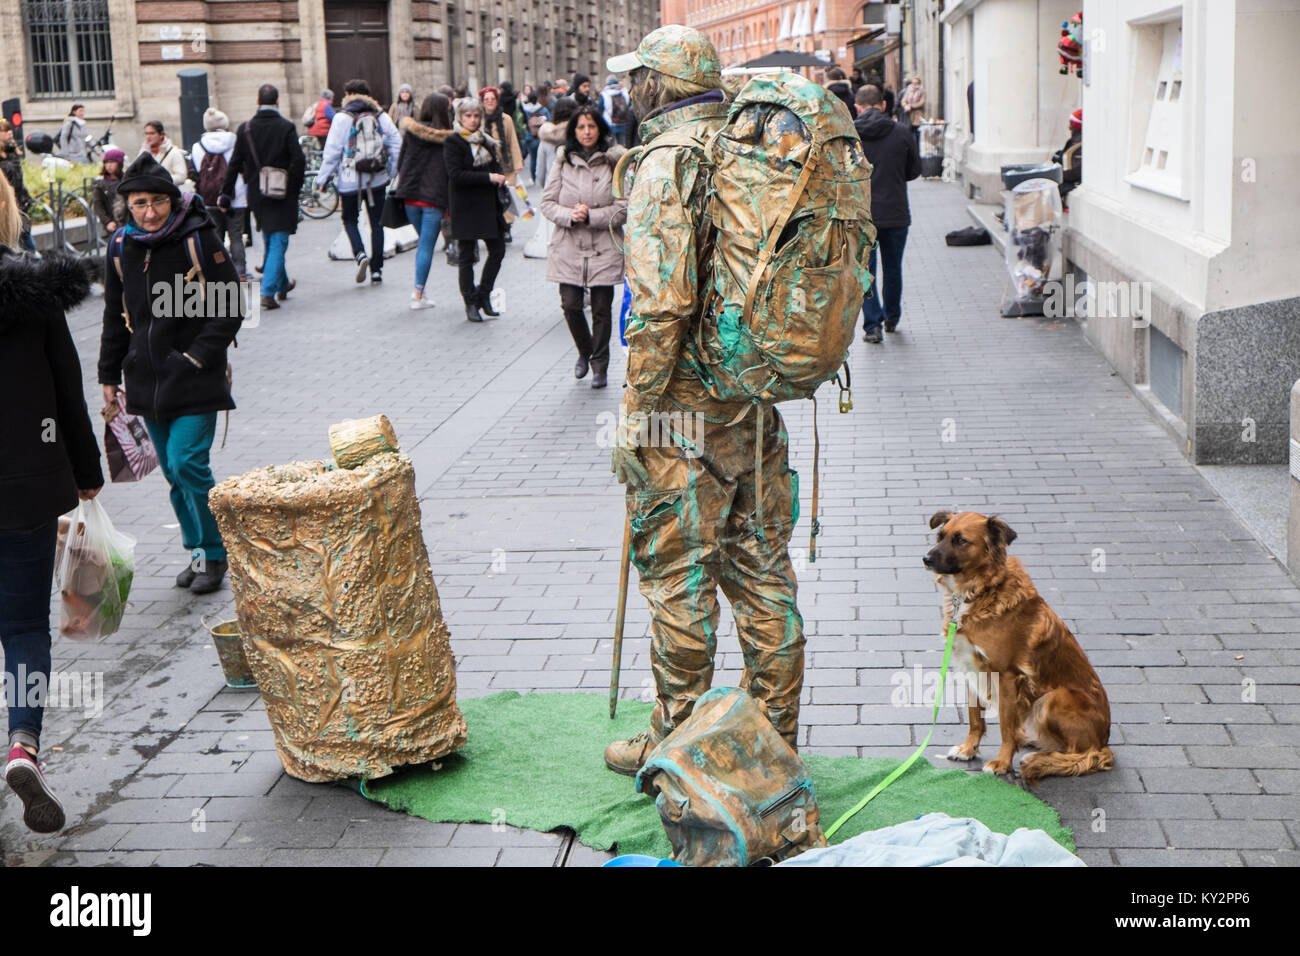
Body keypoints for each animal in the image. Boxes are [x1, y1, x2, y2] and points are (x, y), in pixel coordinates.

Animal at [920, 512, 1112, 780]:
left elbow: (1006, 728)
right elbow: (974, 718)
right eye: (940, 536)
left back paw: (1041, 757)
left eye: (961, 540)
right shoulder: (969, 668)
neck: (979, 591)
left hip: (1054, 698)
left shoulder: (1008, 675)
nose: (926, 559)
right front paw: (968, 750)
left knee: (1082, 753)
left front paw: (1002, 763)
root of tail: (1104, 741)